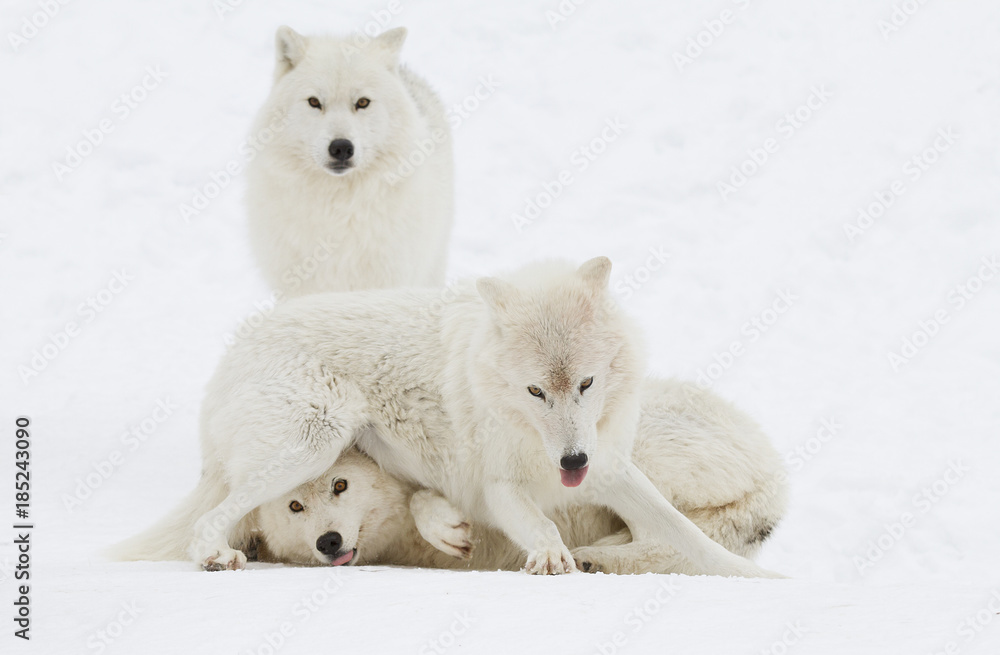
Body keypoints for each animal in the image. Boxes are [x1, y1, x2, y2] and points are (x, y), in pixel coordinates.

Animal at [112, 258, 782, 578]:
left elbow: (690, 539)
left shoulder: (611, 466)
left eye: (586, 384)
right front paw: (551, 559)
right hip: (309, 444)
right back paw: (216, 557)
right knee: (213, 521)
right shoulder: (499, 485)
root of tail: (230, 356)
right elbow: (539, 526)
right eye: (535, 390)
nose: (572, 461)